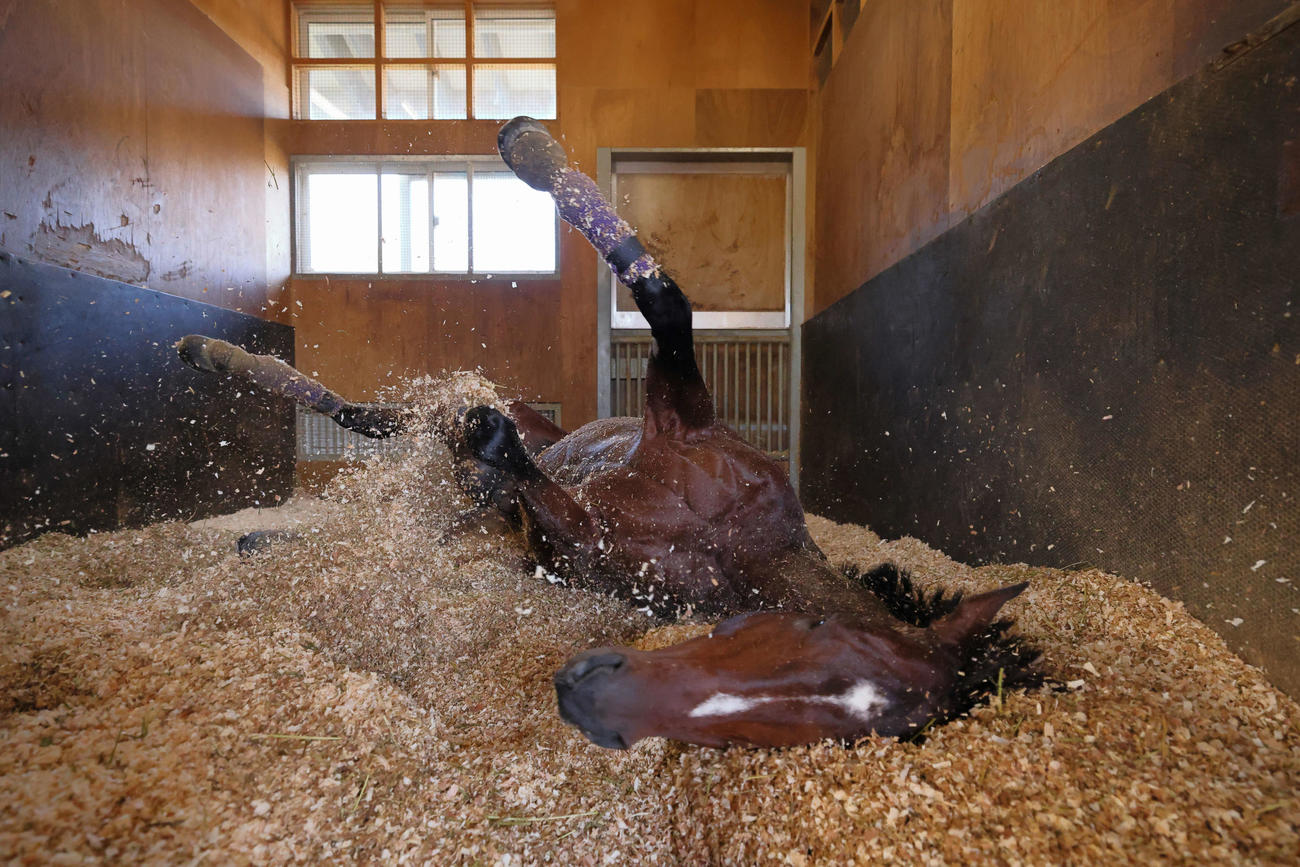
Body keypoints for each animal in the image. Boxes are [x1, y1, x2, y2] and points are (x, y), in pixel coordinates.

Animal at [176, 117, 1041, 749]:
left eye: (829, 734)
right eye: (812, 627)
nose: (593, 697)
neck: (728, 540)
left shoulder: (581, 535)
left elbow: (522, 475)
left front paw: (487, 442)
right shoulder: (679, 408)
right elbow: (662, 295)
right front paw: (530, 148)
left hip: (477, 519)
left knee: (417, 487)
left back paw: (270, 526)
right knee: (359, 415)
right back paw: (209, 352)